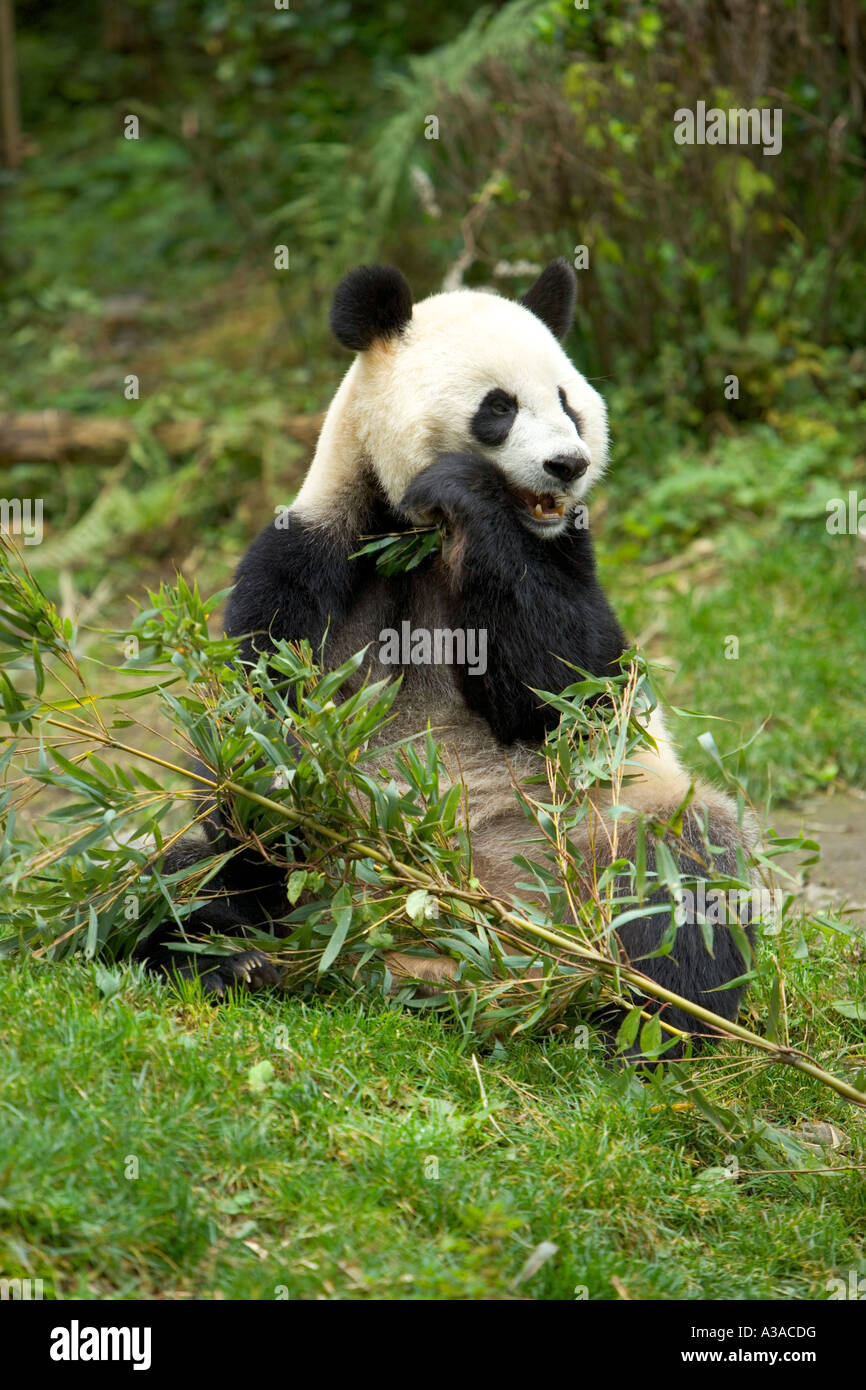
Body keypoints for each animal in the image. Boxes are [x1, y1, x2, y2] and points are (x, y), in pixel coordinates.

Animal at [137, 259, 756, 1038]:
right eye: (500, 407)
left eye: (568, 402)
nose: (568, 464)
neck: (423, 533)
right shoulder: (309, 554)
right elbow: (247, 721)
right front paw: (276, 772)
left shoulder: (563, 555)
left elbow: (573, 687)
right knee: (184, 874)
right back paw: (224, 959)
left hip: (601, 833)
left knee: (686, 872)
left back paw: (660, 1020)